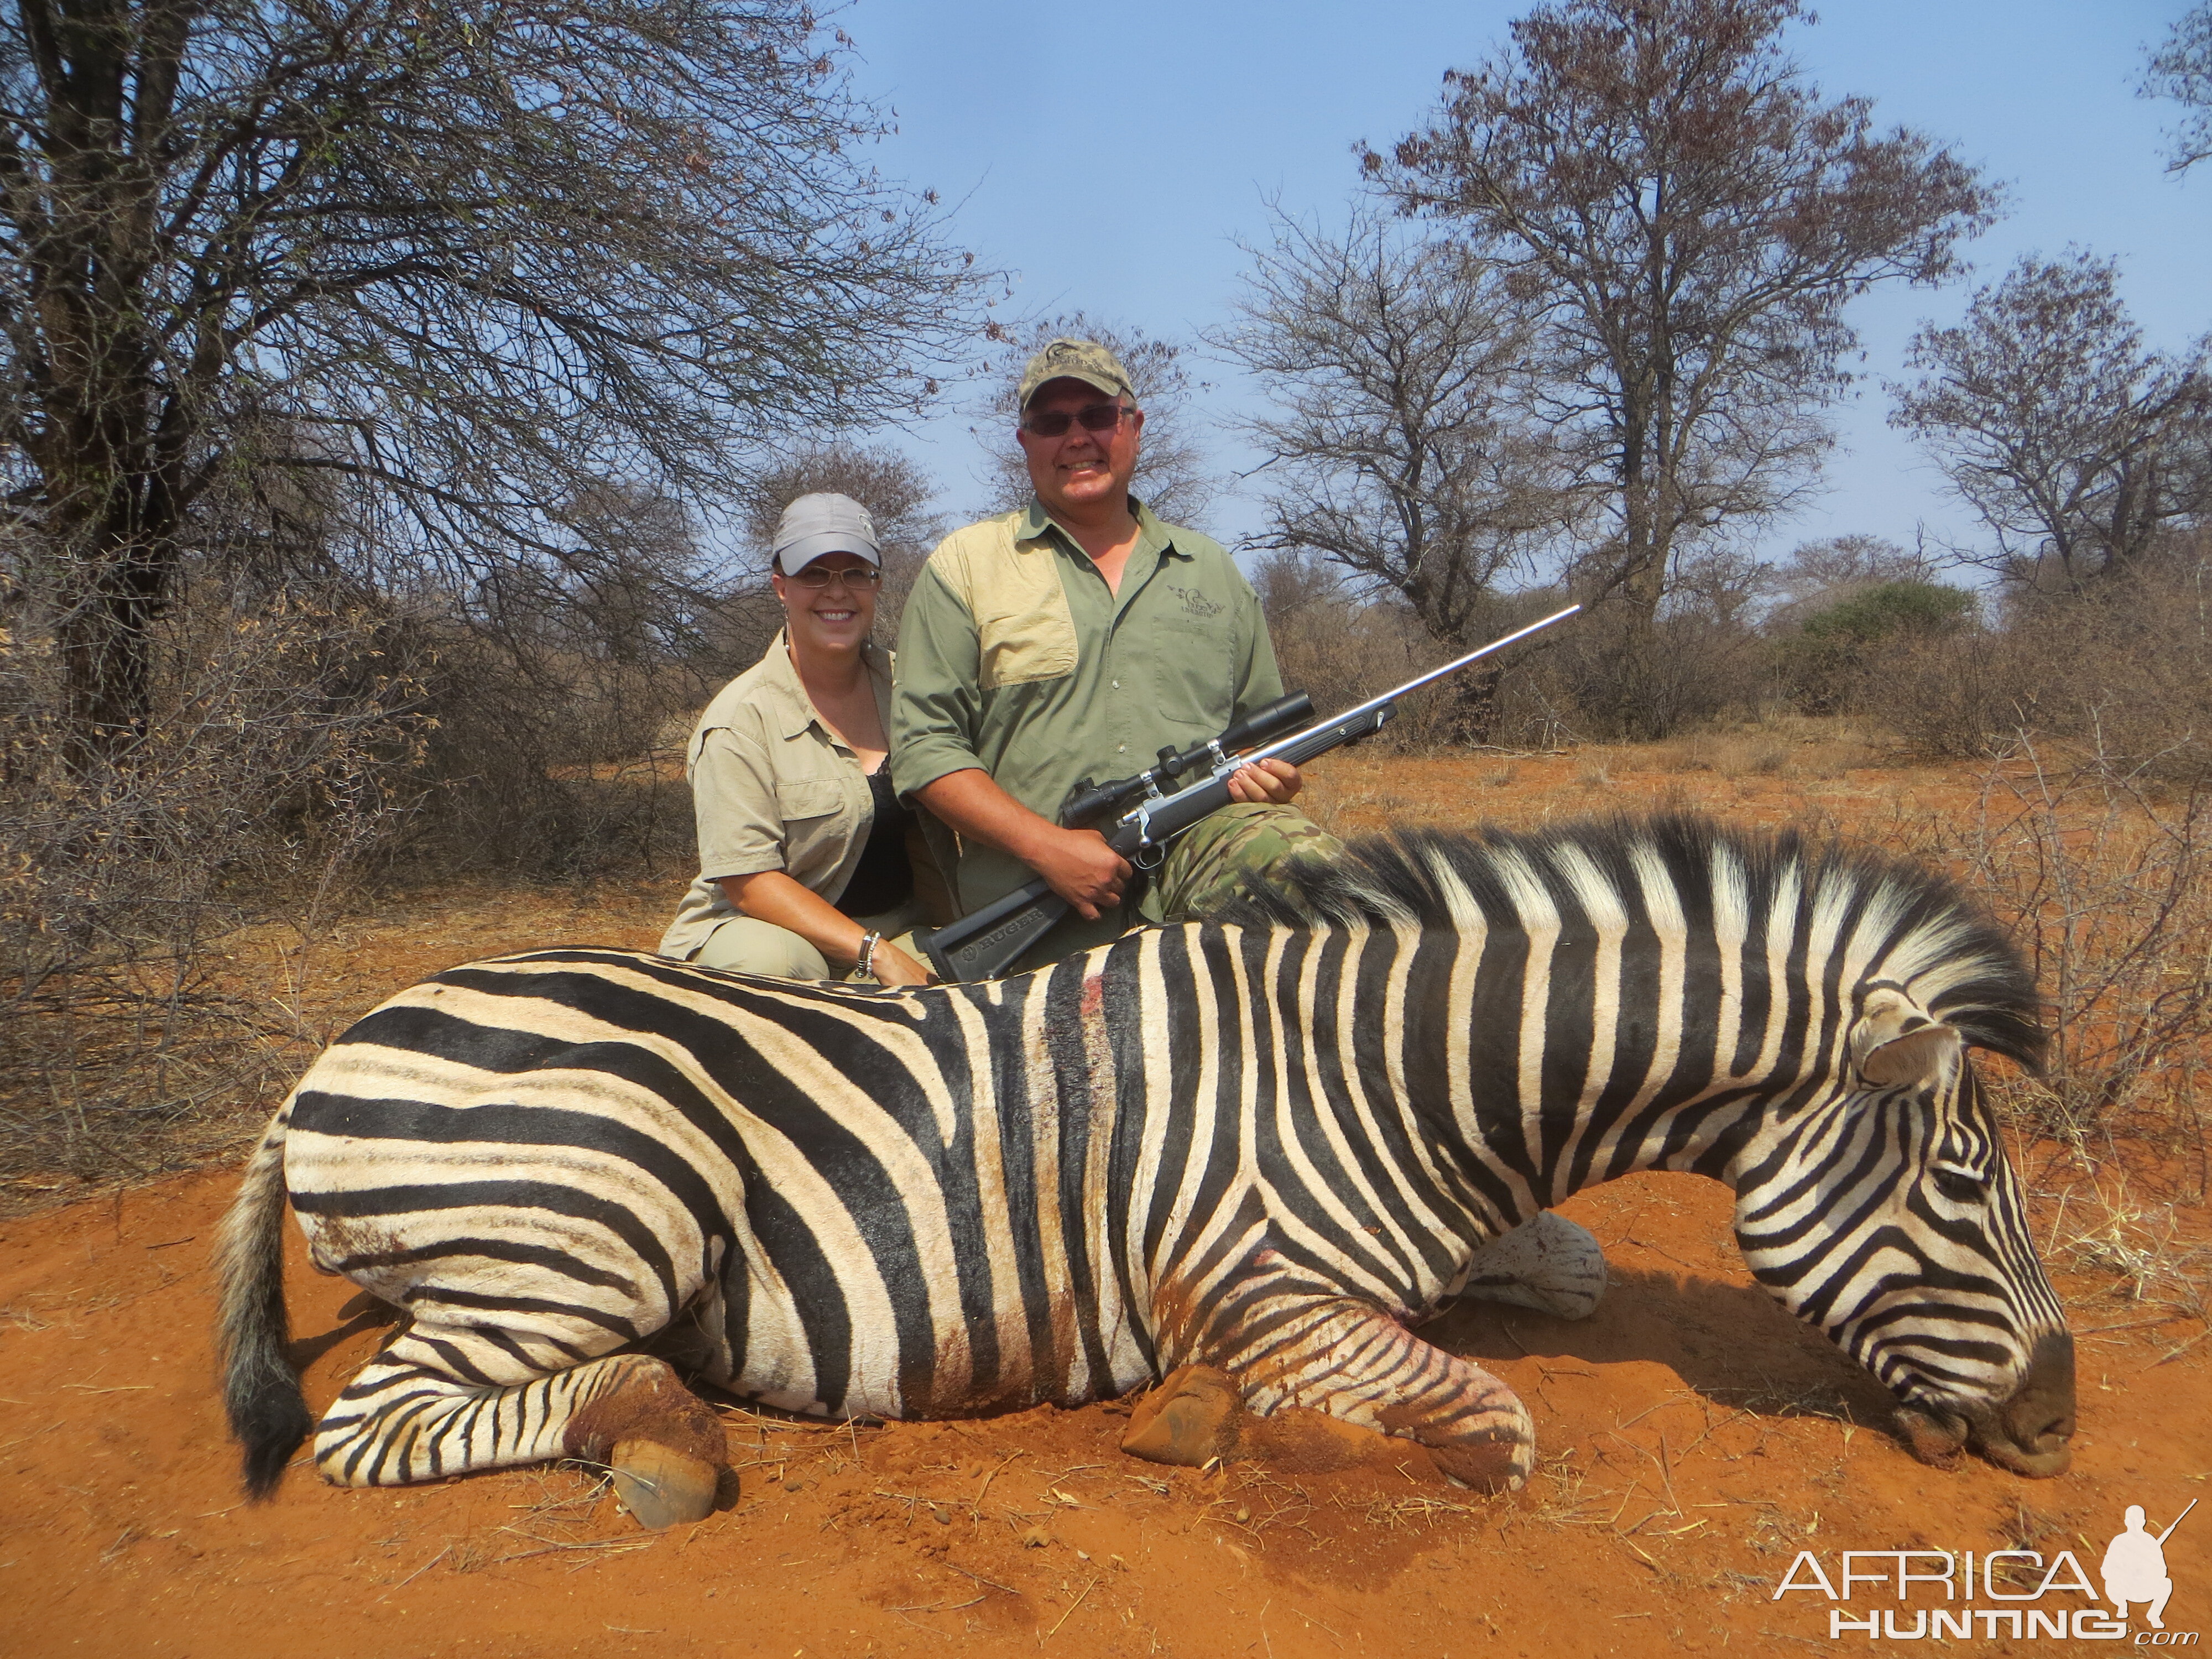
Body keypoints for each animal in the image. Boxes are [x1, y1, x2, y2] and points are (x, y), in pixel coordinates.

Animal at [220, 818, 2070, 1531]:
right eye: (1967, 1187)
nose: (2058, 1423)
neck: (1388, 1078)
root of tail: (323, 1059)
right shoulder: (1260, 1288)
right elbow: (1487, 1429)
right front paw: (1207, 1422)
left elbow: (1566, 1271)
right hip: (604, 1215)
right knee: (377, 1423)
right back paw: (658, 1432)